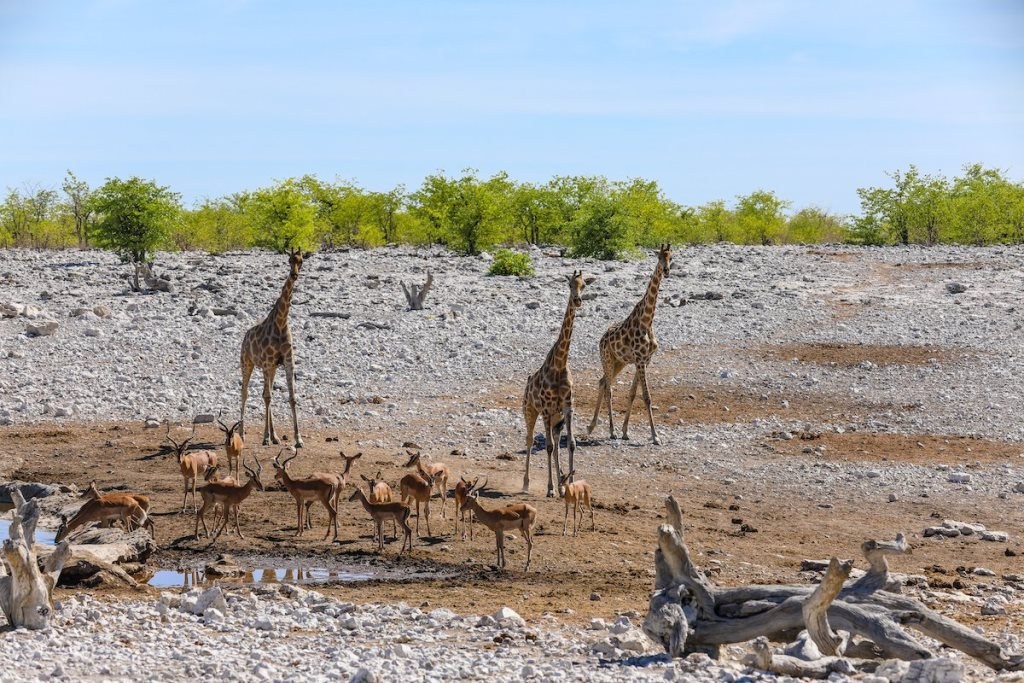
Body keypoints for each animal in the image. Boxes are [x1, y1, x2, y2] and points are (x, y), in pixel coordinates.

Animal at [240, 250, 305, 448]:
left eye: (301, 260)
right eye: (289, 260)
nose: (294, 274)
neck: (281, 322)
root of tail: (245, 337)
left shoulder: (287, 361)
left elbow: (292, 397)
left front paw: (298, 439)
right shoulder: (268, 361)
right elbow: (268, 397)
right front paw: (266, 438)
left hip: (271, 368)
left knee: (264, 393)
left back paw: (275, 436)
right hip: (247, 363)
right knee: (245, 393)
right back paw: (242, 434)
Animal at [522, 270, 589, 497]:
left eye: (584, 285)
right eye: (569, 284)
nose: (577, 300)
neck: (560, 364)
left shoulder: (567, 407)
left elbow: (571, 444)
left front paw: (568, 486)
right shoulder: (545, 408)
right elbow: (549, 447)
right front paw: (550, 488)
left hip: (555, 420)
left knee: (557, 441)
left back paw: (561, 484)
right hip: (530, 411)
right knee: (530, 440)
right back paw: (526, 484)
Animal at [587, 244, 672, 445]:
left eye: (671, 257)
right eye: (659, 257)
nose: (666, 270)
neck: (647, 321)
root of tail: (601, 340)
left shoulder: (645, 360)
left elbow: (633, 393)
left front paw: (626, 431)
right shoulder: (640, 360)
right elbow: (646, 397)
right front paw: (655, 436)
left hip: (619, 362)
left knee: (602, 382)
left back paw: (591, 427)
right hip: (608, 360)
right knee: (608, 388)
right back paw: (611, 431)